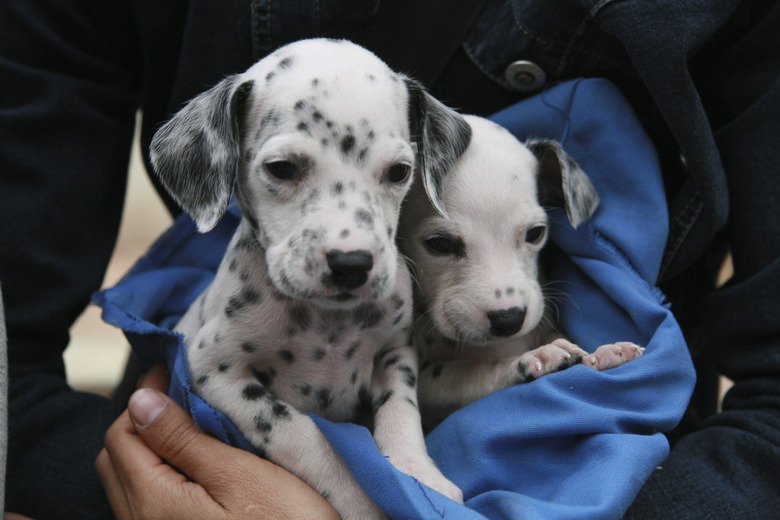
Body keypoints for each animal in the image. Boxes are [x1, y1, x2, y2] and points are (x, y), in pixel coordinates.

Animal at [150, 40, 472, 520]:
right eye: (282, 168)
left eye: (399, 171)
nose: (352, 264)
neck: (327, 322)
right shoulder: (215, 372)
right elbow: (306, 436)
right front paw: (362, 500)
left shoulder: (395, 352)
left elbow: (401, 411)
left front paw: (420, 476)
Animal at [400, 116, 644, 428]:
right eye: (440, 244)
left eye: (535, 233)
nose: (509, 319)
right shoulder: (428, 385)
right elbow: (472, 372)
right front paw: (536, 358)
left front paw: (604, 354)